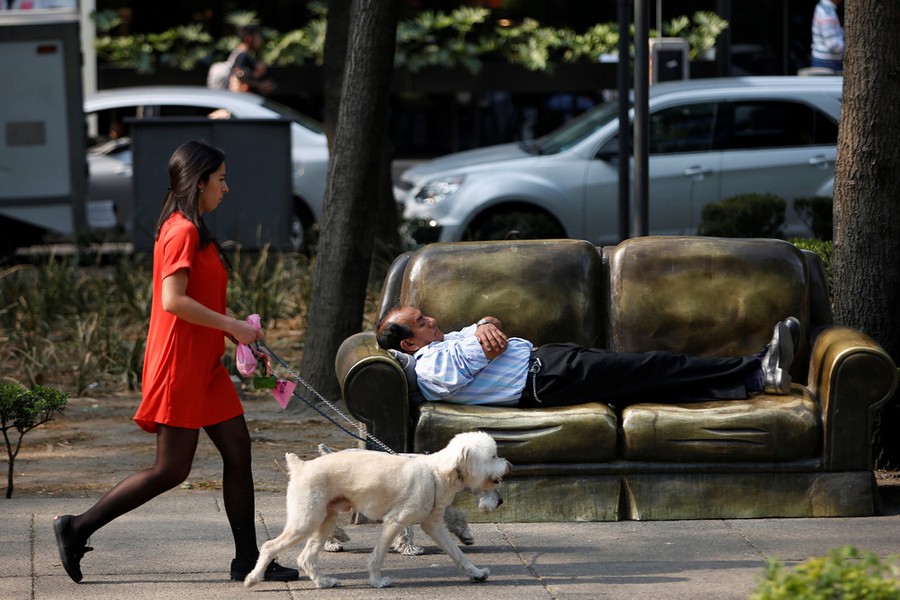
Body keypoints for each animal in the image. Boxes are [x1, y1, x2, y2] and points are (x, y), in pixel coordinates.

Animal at [246, 432, 510, 592]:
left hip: (324, 521)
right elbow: (378, 556)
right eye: (493, 455)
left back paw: (323, 581)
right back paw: (253, 578)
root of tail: (301, 466)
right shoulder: (395, 522)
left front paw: (476, 573)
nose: (508, 465)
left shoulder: (434, 526)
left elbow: (458, 554)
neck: (436, 472)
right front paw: (376, 581)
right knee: (269, 546)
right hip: (305, 521)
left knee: (306, 557)